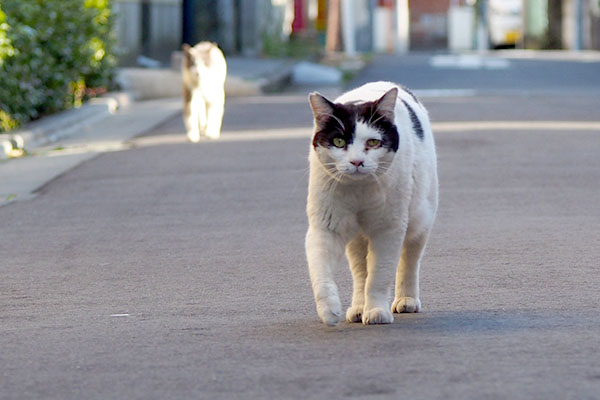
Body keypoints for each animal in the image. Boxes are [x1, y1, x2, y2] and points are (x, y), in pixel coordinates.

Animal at [308, 80, 438, 324]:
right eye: (338, 141)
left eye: (373, 142)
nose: (357, 161)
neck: (359, 191)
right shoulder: (325, 226)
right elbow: (321, 271)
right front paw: (329, 310)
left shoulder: (388, 229)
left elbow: (379, 275)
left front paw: (377, 311)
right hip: (356, 237)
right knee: (360, 270)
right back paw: (359, 307)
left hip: (420, 218)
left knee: (409, 260)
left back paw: (406, 300)